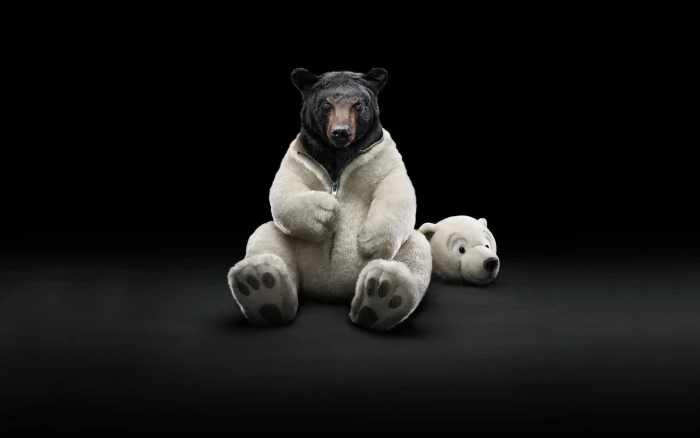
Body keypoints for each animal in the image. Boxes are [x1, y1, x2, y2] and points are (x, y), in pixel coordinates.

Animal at [227, 68, 433, 331]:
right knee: (267, 237)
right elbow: (285, 189)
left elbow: (396, 187)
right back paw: (261, 287)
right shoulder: (298, 157)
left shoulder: (383, 157)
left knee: (415, 250)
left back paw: (382, 296)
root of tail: (331, 291)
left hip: (404, 250)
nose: (340, 132)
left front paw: (371, 240)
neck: (338, 154)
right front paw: (326, 212)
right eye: (326, 104)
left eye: (358, 104)